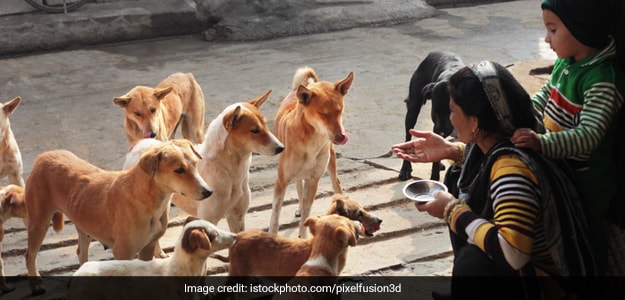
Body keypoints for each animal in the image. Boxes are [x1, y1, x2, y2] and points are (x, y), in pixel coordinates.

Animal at [25, 141, 212, 296]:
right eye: (179, 170)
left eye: (195, 164)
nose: (209, 191)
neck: (148, 197)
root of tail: (44, 155)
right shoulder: (123, 252)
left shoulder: (148, 247)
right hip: (39, 222)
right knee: (30, 255)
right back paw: (36, 285)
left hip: (83, 223)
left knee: (81, 253)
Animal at [270, 67, 354, 238]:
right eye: (323, 113)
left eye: (339, 110)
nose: (341, 137)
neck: (312, 141)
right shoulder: (281, 181)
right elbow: (275, 216)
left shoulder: (314, 180)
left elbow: (306, 217)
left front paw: (303, 237)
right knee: (298, 187)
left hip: (330, 162)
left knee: (336, 184)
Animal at [400, 51, 464, 180]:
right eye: (435, 111)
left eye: (452, 111)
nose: (441, 130)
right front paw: (434, 178)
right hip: (413, 107)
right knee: (408, 136)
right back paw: (405, 168)